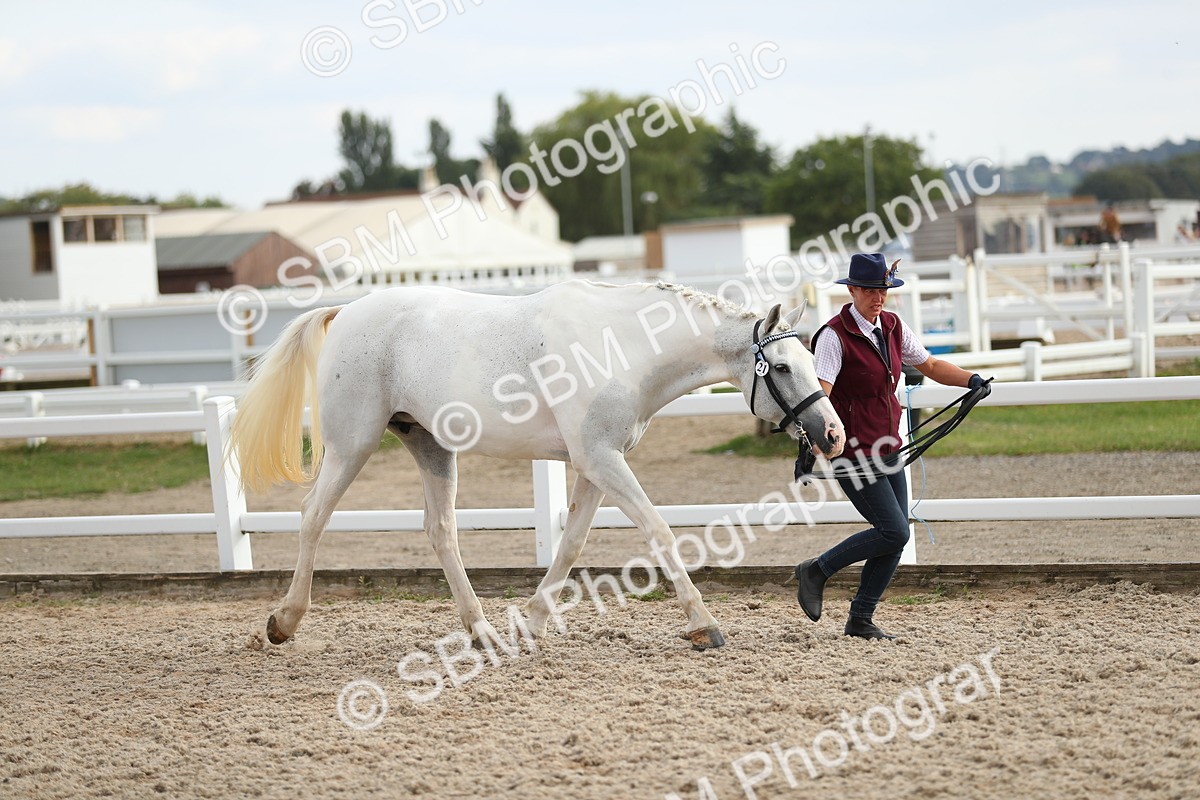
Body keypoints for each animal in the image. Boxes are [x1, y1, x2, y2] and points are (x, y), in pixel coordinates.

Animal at [228, 280, 845, 651]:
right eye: (782, 367)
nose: (833, 435)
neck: (624, 346)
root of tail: (345, 311)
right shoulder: (601, 459)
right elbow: (659, 531)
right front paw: (705, 626)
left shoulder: (597, 462)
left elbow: (571, 544)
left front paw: (530, 620)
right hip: (352, 445)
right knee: (312, 517)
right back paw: (284, 622)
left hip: (430, 446)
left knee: (440, 530)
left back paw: (481, 629)